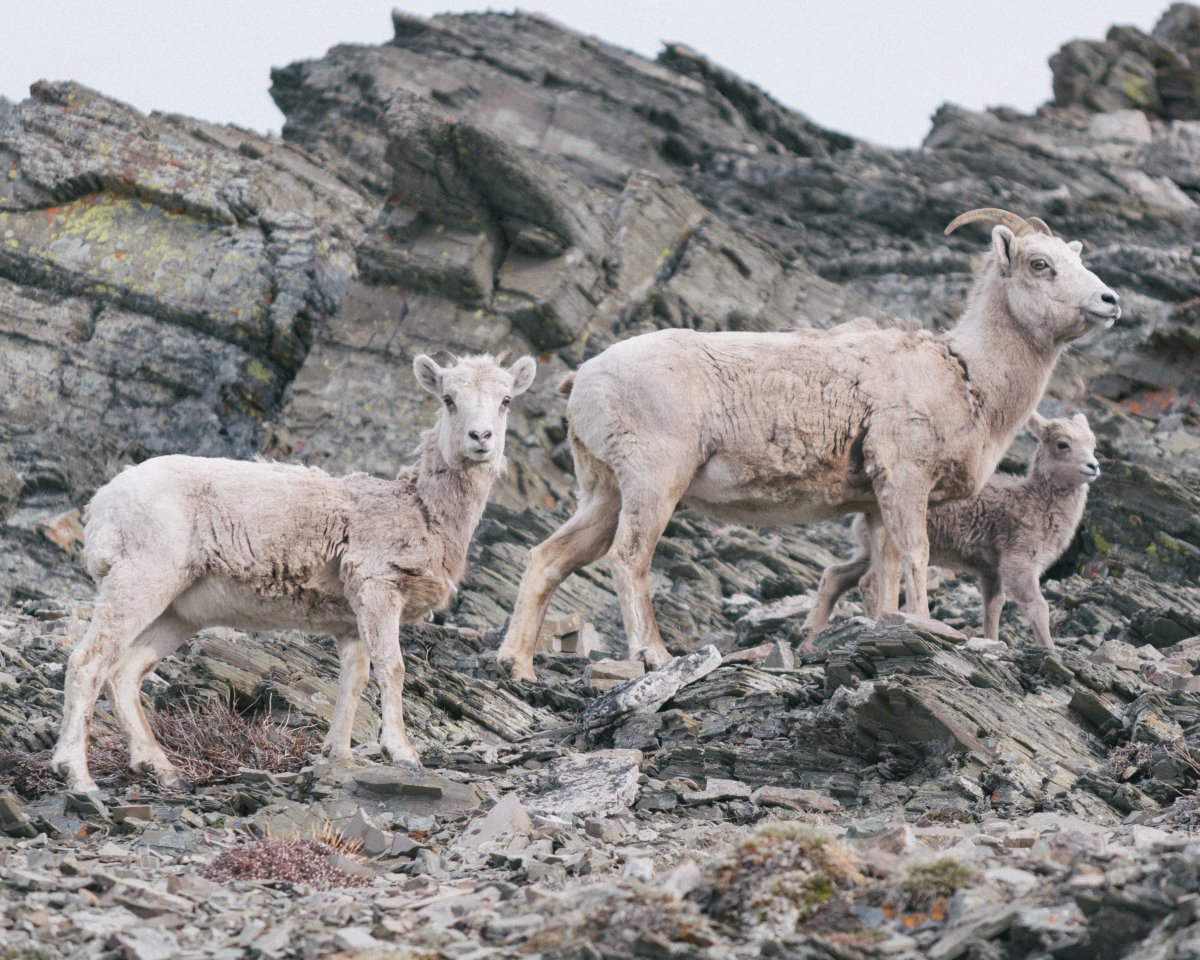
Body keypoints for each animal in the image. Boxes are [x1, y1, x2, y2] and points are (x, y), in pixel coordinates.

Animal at [52, 348, 535, 792]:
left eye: (506, 399)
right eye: (449, 399)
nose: (480, 437)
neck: (421, 509)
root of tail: (102, 502)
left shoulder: (351, 622)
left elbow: (354, 679)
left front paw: (339, 756)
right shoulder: (378, 589)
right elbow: (391, 668)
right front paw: (403, 754)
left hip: (177, 613)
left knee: (125, 672)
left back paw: (160, 769)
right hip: (138, 583)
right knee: (88, 662)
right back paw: (78, 776)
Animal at [801, 408, 1099, 648]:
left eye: (1092, 443)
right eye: (1062, 444)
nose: (1093, 466)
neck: (1034, 500)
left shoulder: (991, 571)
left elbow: (993, 608)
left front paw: (993, 643)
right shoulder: (1019, 563)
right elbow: (1038, 606)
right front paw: (1051, 649)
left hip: (867, 550)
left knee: (837, 575)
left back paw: (809, 639)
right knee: (871, 583)